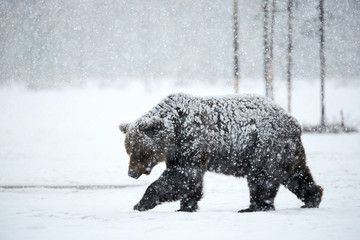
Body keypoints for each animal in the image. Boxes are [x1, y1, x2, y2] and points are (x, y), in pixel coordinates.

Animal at [119, 93, 324, 212]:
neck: (175, 131)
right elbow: (190, 180)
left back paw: (255, 207)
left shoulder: (193, 141)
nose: (131, 173)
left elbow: (182, 176)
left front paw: (140, 203)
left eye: (138, 151)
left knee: (262, 178)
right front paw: (186, 206)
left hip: (265, 147)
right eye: (128, 150)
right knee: (297, 174)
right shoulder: (179, 153)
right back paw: (312, 198)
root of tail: (294, 122)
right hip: (287, 151)